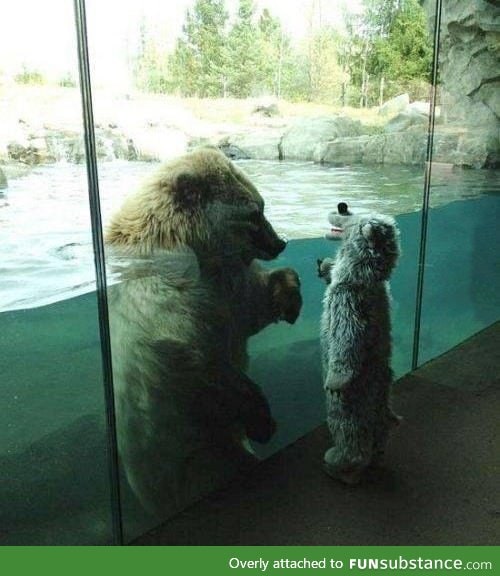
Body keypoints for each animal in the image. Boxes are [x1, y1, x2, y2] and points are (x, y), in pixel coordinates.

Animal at [104, 147, 300, 516]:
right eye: (254, 213)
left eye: (262, 205)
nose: (279, 242)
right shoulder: (162, 307)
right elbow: (196, 364)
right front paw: (262, 420)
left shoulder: (225, 288)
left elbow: (252, 304)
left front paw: (289, 297)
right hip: (190, 463)